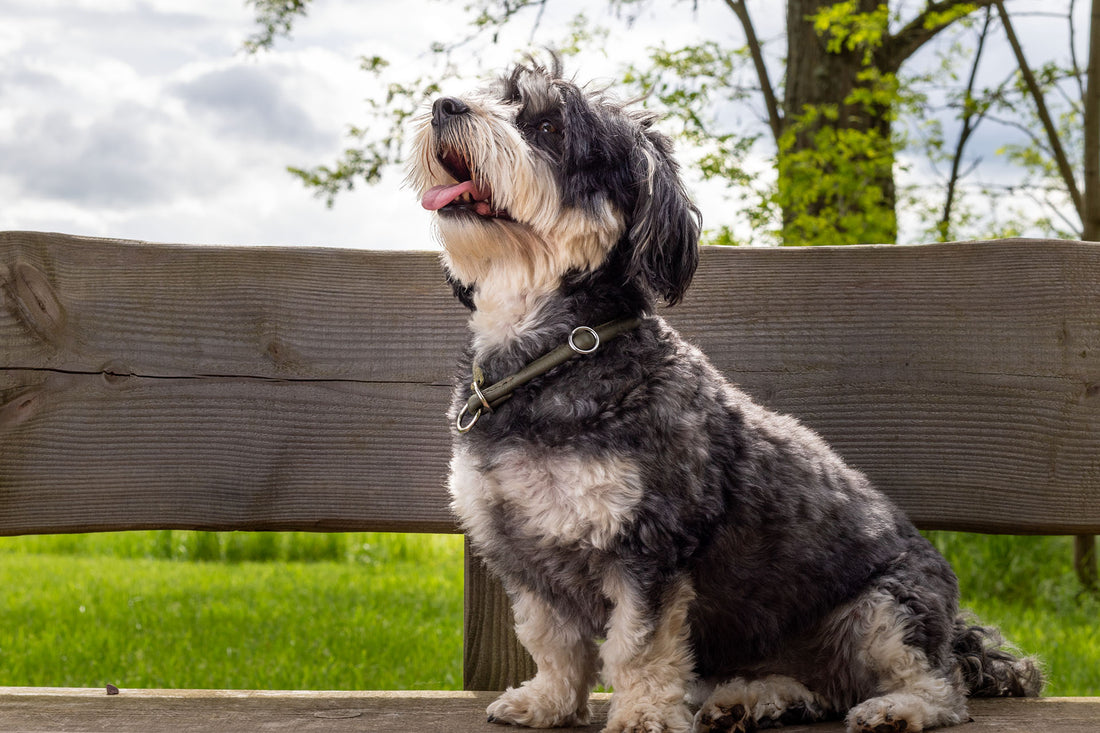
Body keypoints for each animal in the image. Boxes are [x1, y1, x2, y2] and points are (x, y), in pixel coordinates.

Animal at [409, 55, 1042, 730]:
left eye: (549, 127)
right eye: (497, 97)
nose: (445, 105)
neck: (552, 359)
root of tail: (959, 630)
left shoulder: (650, 547)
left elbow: (639, 645)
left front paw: (642, 714)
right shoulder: (527, 555)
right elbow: (552, 639)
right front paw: (548, 700)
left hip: (885, 608)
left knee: (939, 689)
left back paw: (896, 708)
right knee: (818, 688)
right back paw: (753, 700)